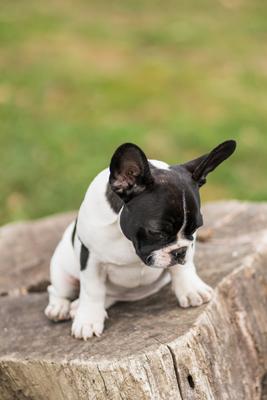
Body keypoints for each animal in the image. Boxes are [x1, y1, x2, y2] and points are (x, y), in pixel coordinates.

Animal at [45, 139, 237, 340]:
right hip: (63, 273)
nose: (179, 252)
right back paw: (60, 307)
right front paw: (88, 320)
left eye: (195, 229)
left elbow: (182, 267)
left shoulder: (186, 248)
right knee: (56, 289)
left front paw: (190, 289)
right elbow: (92, 290)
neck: (127, 240)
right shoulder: (90, 257)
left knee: (109, 296)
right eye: (157, 232)